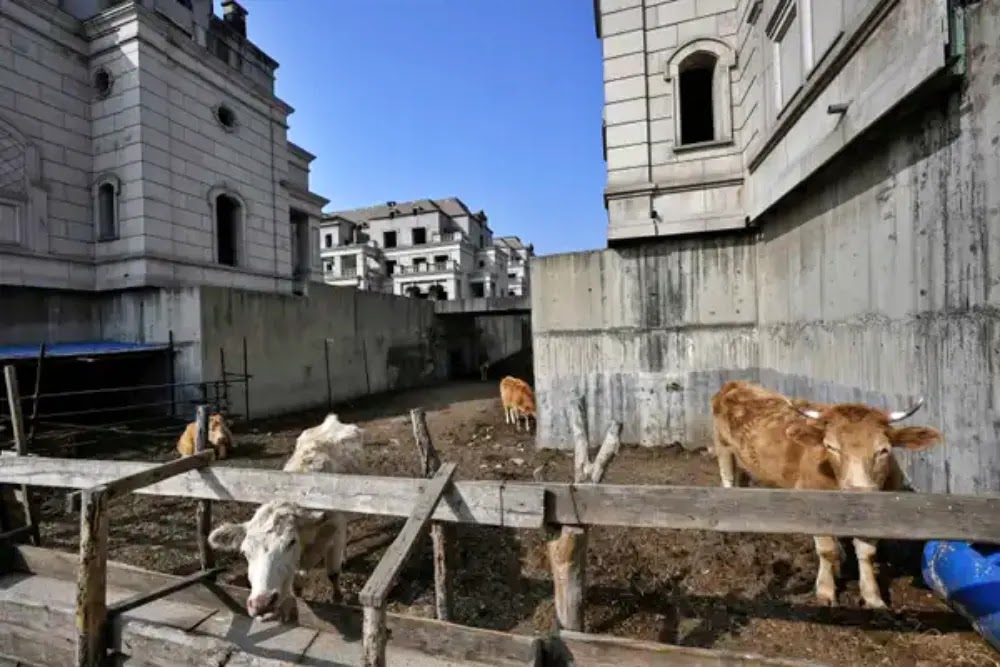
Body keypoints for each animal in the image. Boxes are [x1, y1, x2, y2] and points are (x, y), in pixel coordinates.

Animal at [209, 414, 366, 624]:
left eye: (291, 542)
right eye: (244, 552)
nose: (261, 603)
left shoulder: (337, 531)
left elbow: (333, 574)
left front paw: (338, 599)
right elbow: (297, 585)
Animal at [708, 380, 940, 612]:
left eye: (884, 450)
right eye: (830, 446)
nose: (857, 493)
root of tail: (736, 384)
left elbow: (867, 552)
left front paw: (873, 597)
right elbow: (828, 551)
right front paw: (826, 591)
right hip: (723, 446)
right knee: (727, 479)